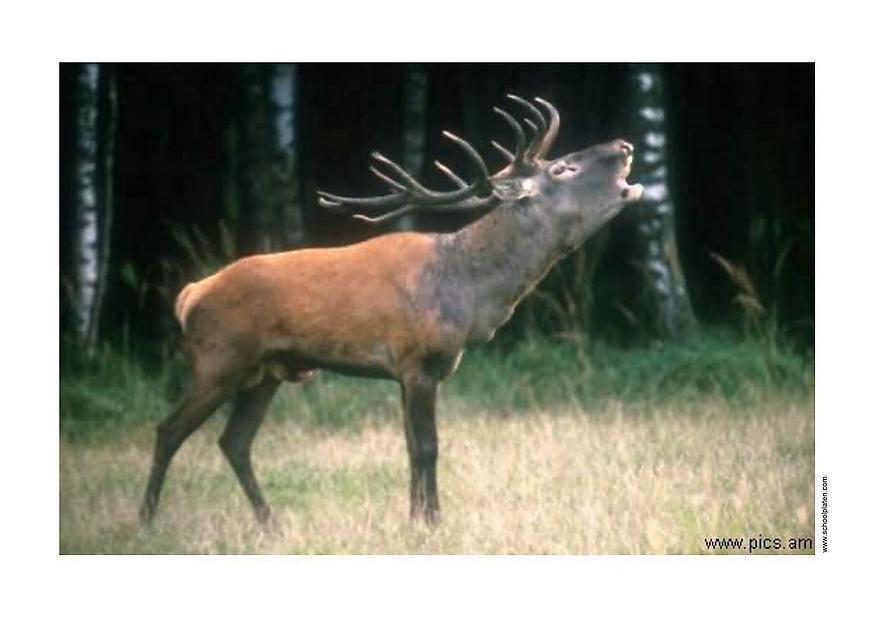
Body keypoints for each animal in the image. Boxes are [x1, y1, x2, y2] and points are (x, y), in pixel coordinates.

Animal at [139, 94, 643, 527]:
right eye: (562, 167)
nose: (625, 145)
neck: (470, 292)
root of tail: (190, 294)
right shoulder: (418, 360)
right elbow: (428, 446)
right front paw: (434, 522)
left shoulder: (405, 371)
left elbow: (409, 447)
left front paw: (415, 519)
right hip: (219, 361)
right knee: (168, 430)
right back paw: (146, 521)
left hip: (265, 373)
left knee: (234, 441)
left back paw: (270, 525)